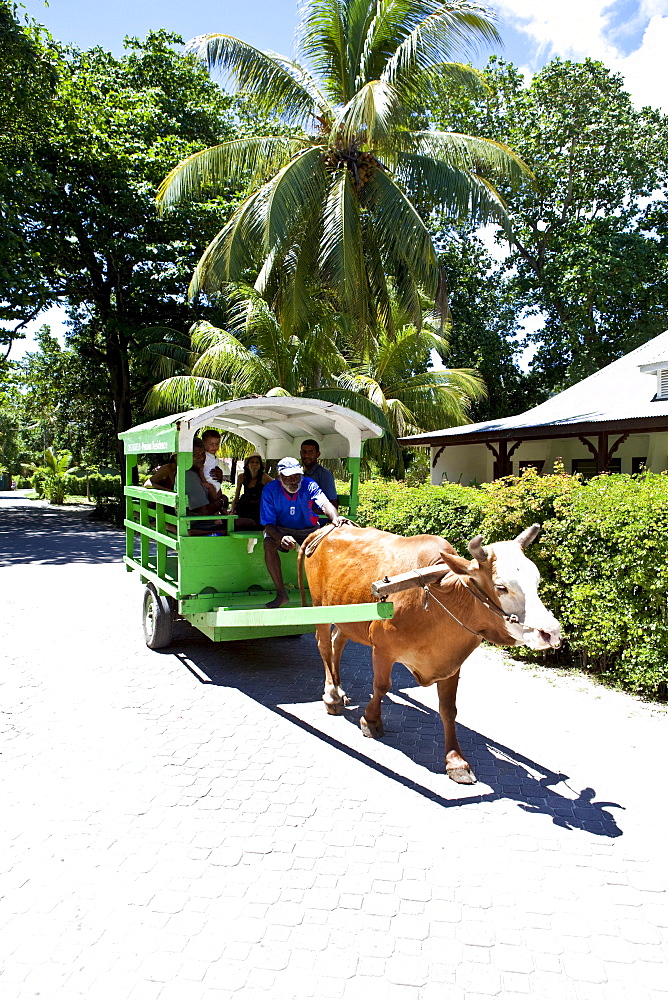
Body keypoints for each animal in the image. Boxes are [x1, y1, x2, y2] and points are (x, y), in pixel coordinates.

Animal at [300, 520, 560, 784]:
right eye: (501, 587)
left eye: (536, 580)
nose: (551, 632)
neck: (438, 598)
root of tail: (326, 529)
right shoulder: (382, 649)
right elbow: (381, 686)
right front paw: (371, 721)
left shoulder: (451, 662)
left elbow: (448, 709)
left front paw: (455, 760)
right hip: (319, 606)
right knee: (324, 644)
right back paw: (332, 695)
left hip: (348, 615)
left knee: (337, 641)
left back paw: (340, 689)